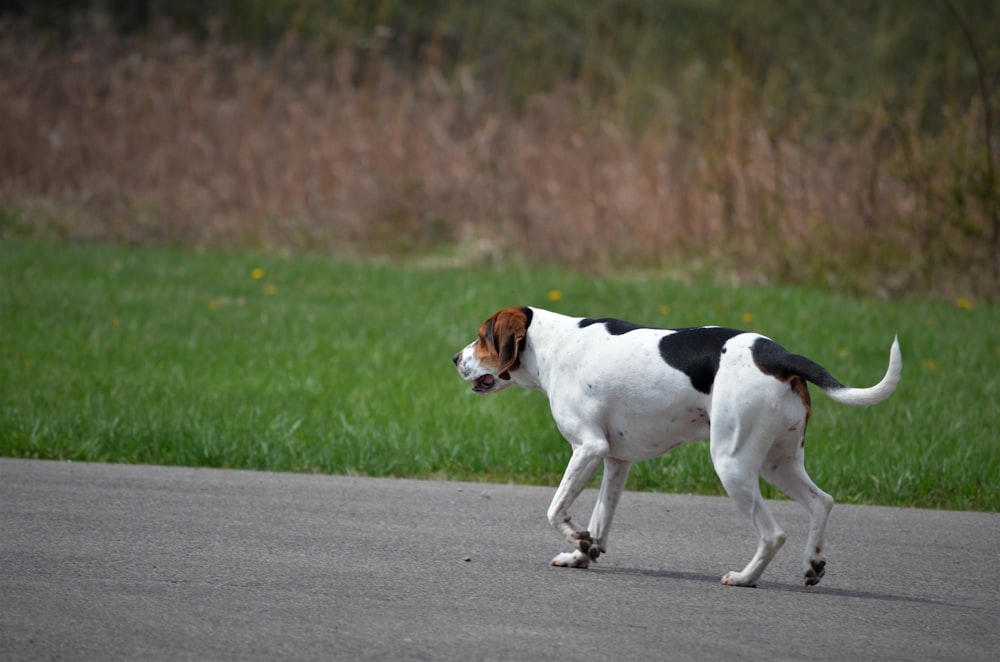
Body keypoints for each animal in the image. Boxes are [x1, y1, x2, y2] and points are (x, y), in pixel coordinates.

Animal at [454, 308, 900, 588]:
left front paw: (577, 539)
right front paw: (584, 552)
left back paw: (745, 578)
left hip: (732, 465)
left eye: (480, 338)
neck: (555, 344)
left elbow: (554, 510)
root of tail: (778, 354)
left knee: (773, 534)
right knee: (822, 501)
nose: (455, 357)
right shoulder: (615, 460)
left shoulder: (587, 448)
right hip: (779, 463)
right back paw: (813, 564)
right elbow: (600, 520)